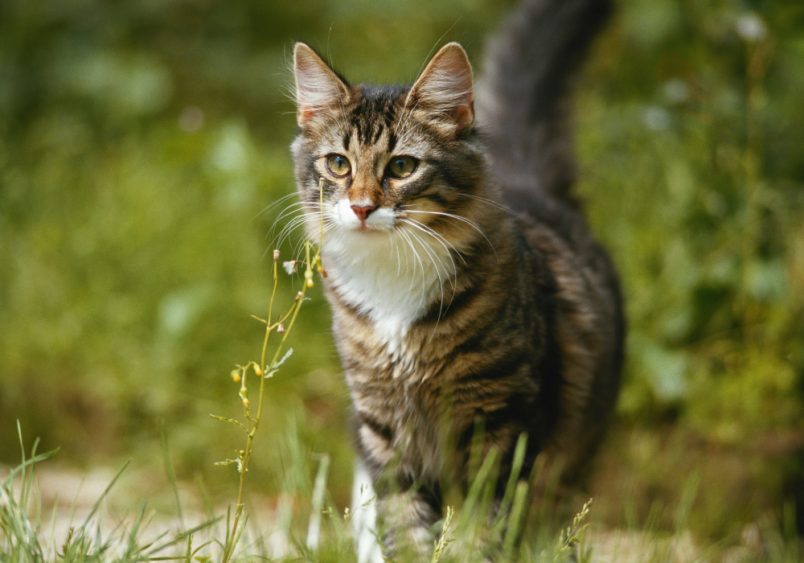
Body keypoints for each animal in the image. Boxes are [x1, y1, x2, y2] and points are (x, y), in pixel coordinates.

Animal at [288, 0, 620, 560]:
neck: (392, 280)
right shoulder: (386, 430)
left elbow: (486, 528)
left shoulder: (504, 426)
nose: (361, 207)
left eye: (402, 166)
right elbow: (407, 529)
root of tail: (526, 181)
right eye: (338, 164)